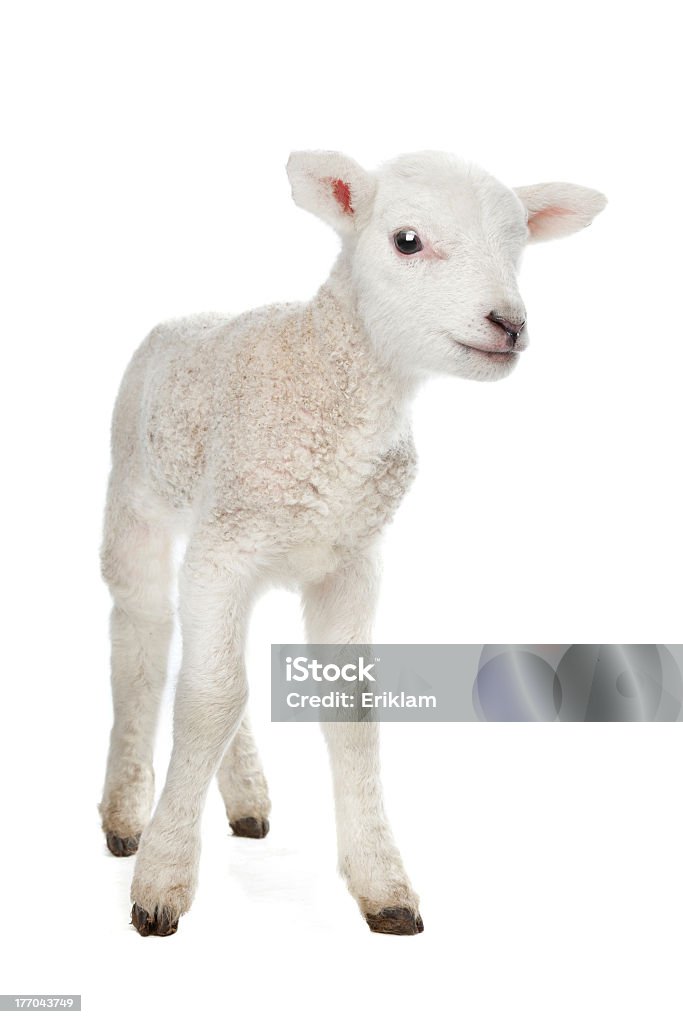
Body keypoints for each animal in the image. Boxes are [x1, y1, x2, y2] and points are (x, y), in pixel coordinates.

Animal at [98, 151, 606, 937]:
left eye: (518, 243)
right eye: (406, 241)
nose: (509, 324)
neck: (328, 377)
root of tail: (186, 316)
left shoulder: (349, 560)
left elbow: (347, 709)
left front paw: (383, 884)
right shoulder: (227, 548)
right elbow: (209, 699)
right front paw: (162, 880)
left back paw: (245, 797)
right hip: (138, 499)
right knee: (143, 642)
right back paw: (126, 815)